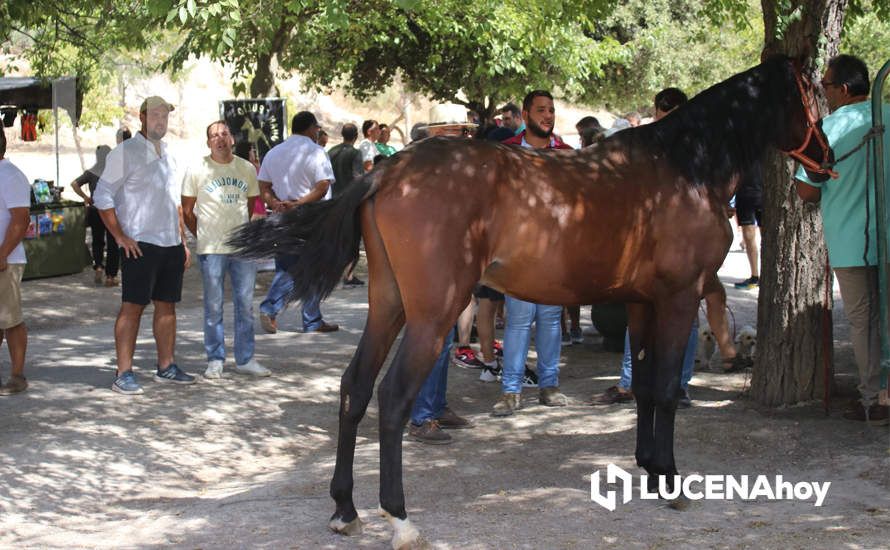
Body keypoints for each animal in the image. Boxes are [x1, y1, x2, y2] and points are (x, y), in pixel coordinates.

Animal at [229, 55, 832, 548]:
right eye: (812, 96)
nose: (826, 158)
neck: (684, 168)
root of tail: (389, 170)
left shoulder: (641, 303)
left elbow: (640, 385)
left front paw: (647, 468)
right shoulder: (679, 299)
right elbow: (662, 389)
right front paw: (670, 480)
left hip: (389, 306)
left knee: (354, 388)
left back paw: (345, 510)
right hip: (432, 315)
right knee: (394, 398)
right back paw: (400, 520)